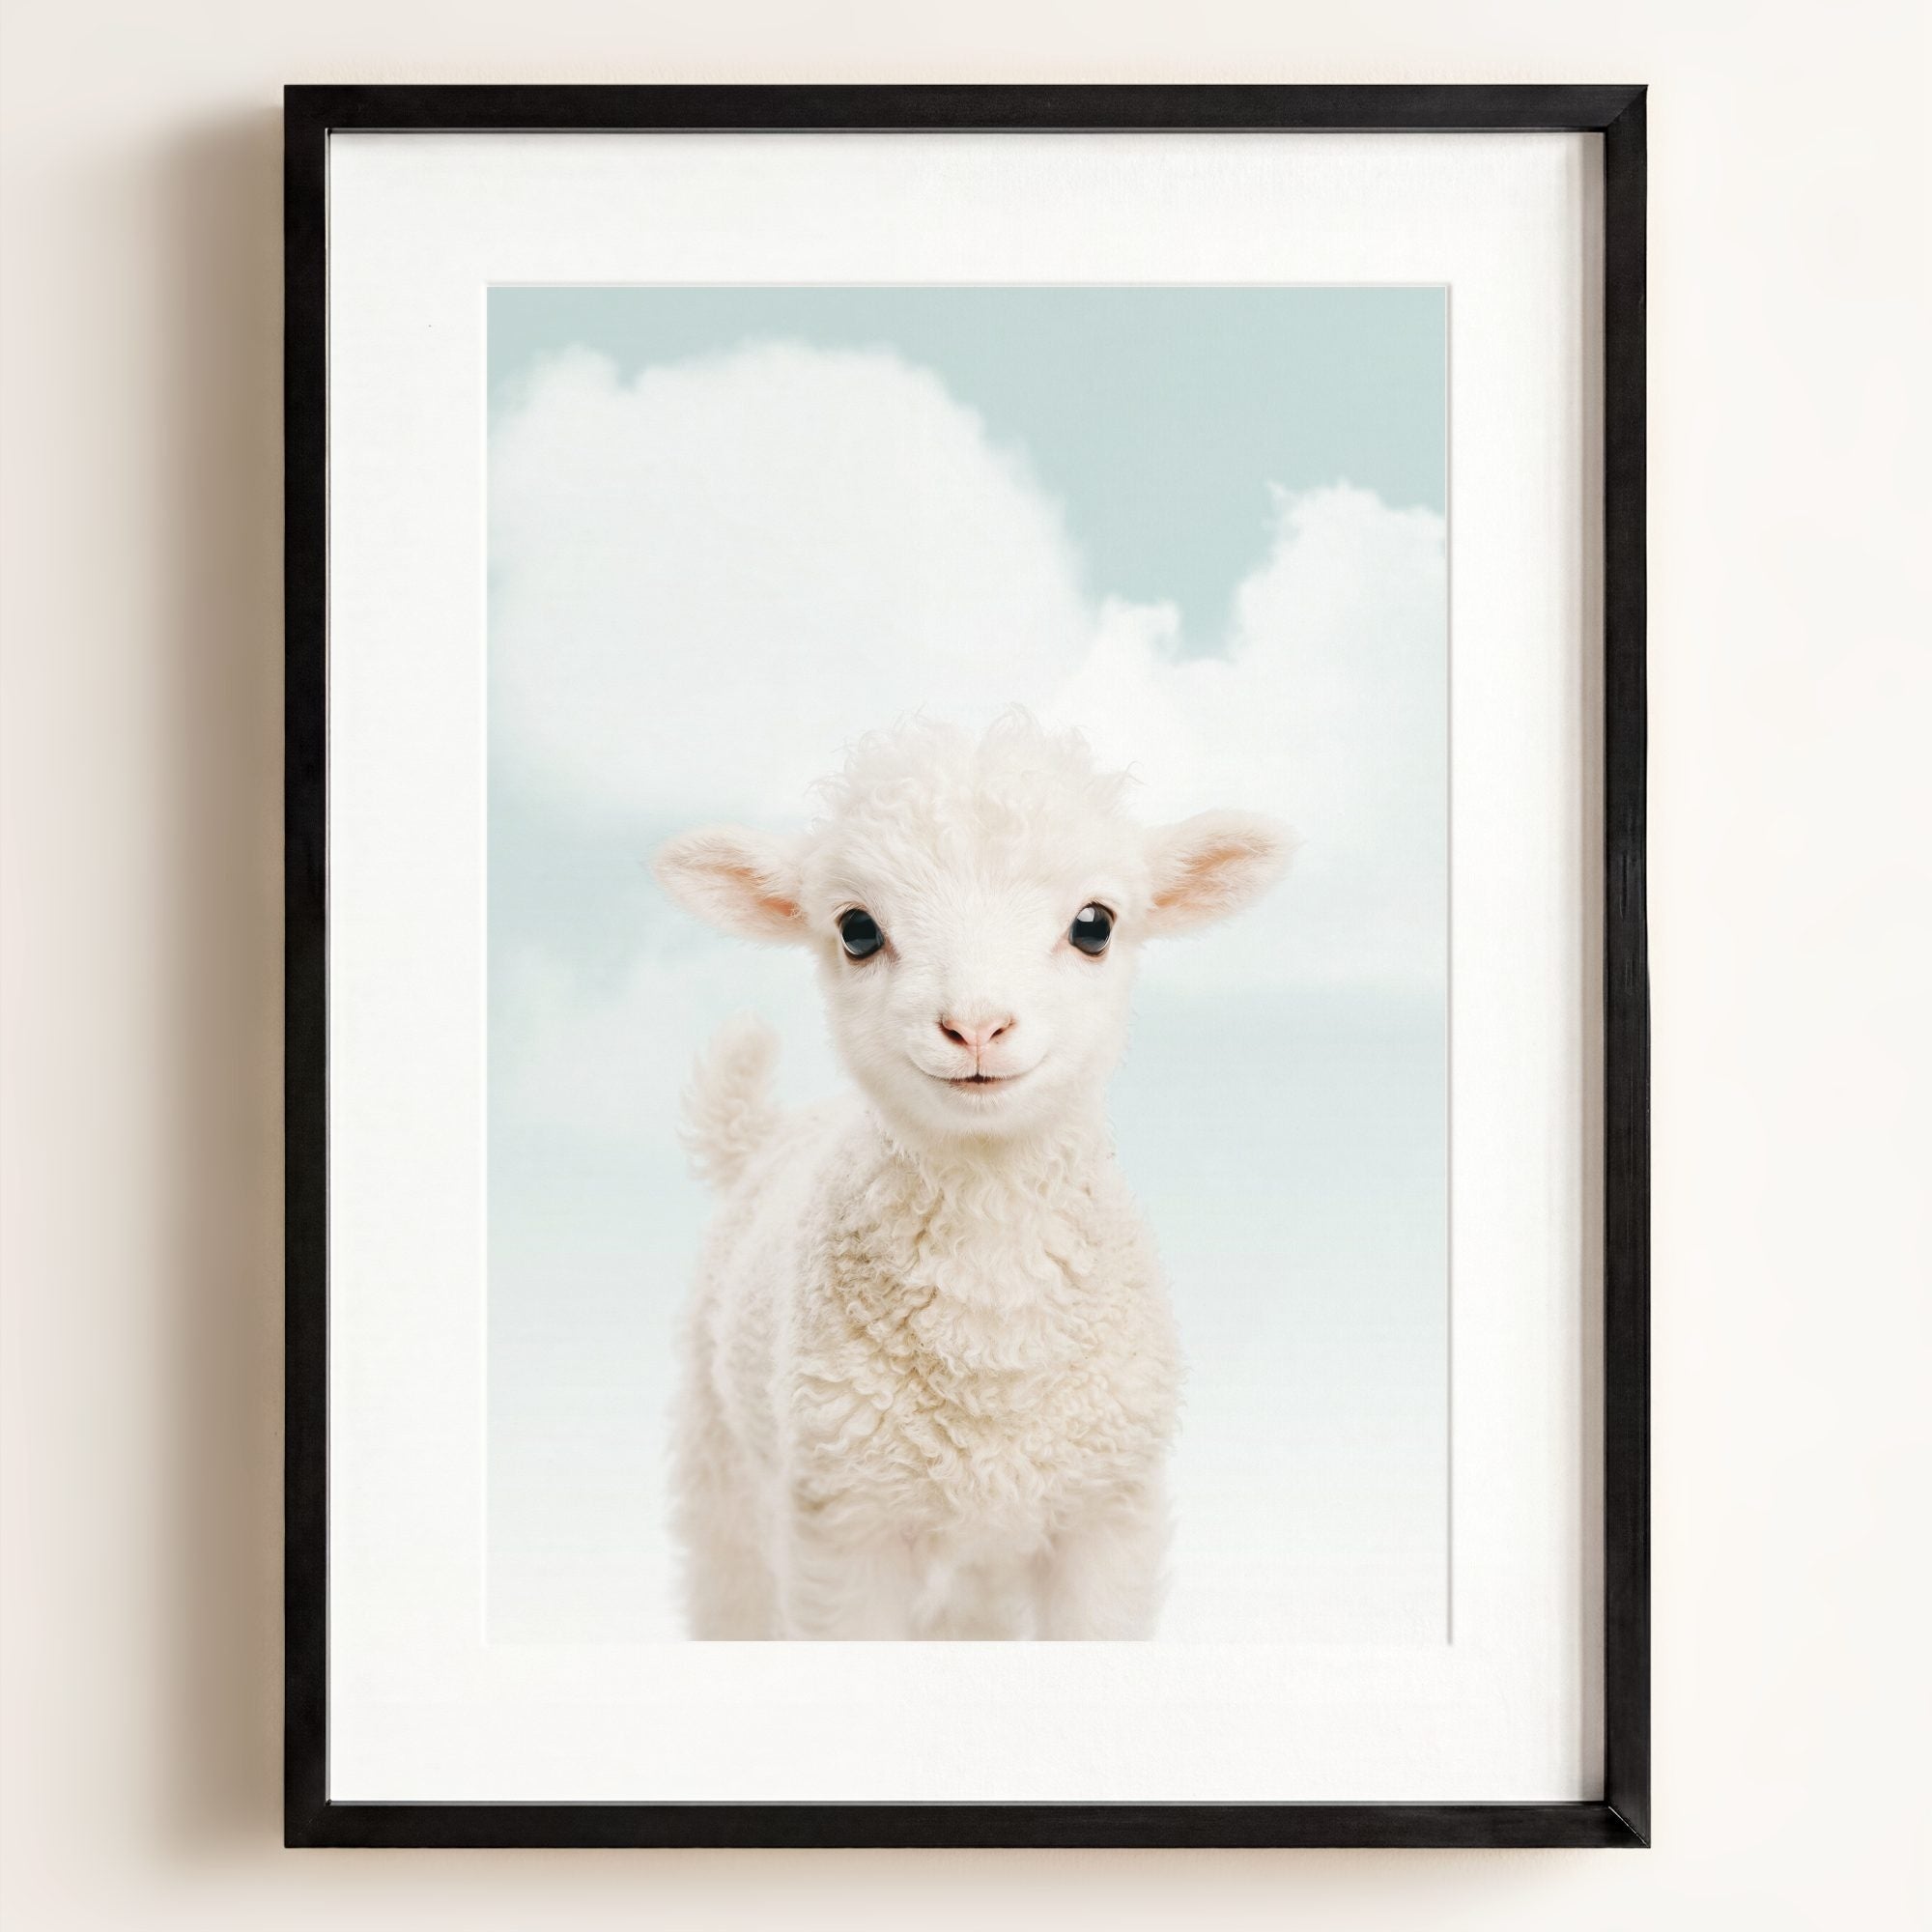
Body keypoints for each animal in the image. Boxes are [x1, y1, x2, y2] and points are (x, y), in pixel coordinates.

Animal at [653, 714, 1290, 1639]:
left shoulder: (1107, 1514)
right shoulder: (844, 1525)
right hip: (724, 1464)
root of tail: (767, 1134)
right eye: (856, 929)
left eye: (1095, 924)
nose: (977, 1025)